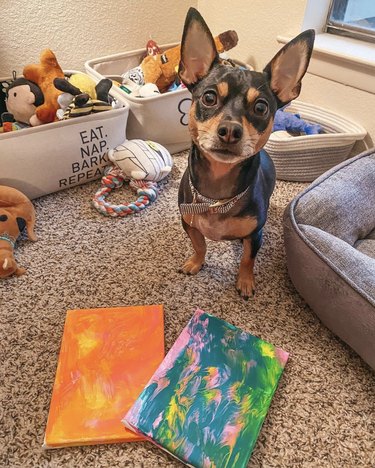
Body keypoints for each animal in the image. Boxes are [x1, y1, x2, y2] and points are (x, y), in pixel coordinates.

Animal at [178, 7, 316, 298]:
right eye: (209, 97)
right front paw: (196, 263)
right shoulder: (189, 224)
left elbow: (247, 259)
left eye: (261, 107)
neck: (216, 196)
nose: (230, 130)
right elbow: (200, 244)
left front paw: (245, 282)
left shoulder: (255, 235)